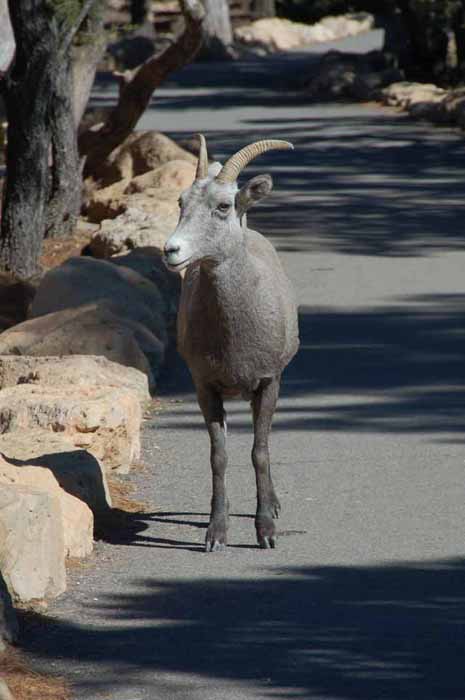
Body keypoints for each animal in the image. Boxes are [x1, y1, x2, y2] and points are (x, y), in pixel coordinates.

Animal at [163, 135, 300, 552]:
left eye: (223, 206)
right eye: (181, 203)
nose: (171, 250)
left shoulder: (268, 383)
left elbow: (259, 452)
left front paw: (265, 532)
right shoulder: (205, 388)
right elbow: (219, 457)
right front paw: (216, 534)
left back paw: (273, 506)